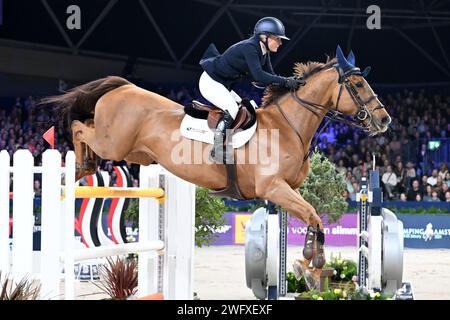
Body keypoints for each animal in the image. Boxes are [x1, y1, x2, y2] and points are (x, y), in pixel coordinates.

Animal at [44, 47, 390, 288]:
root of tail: (123, 87)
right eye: (358, 84)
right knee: (78, 127)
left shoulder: (287, 190)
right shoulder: (273, 188)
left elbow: (312, 214)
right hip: (112, 143)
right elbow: (313, 214)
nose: (384, 120)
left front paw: (308, 262)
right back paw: (75, 167)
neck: (287, 126)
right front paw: (312, 260)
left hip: (135, 153)